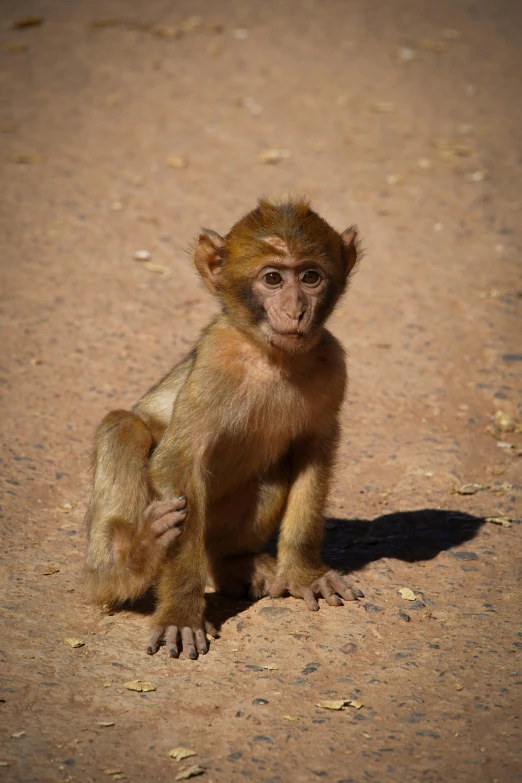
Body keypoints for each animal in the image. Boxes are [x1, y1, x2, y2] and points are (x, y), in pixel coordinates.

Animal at [85, 194, 362, 656]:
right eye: (272, 278)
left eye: (310, 277)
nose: (296, 310)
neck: (271, 356)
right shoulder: (217, 360)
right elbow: (178, 461)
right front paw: (181, 614)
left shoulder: (332, 363)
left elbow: (313, 451)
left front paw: (304, 572)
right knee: (124, 426)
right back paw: (131, 560)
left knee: (271, 474)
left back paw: (234, 565)